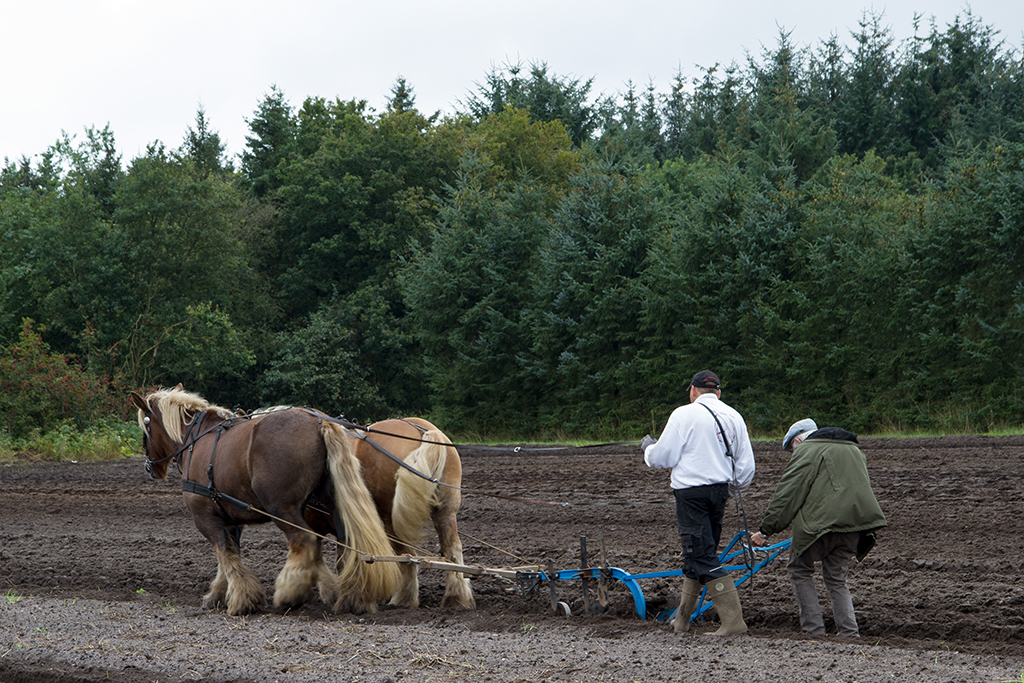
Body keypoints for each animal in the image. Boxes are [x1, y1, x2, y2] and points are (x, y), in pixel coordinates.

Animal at [129, 387, 399, 618]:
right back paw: (352, 595)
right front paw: (218, 594)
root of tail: (319, 420)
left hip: (282, 507)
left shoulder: (204, 516)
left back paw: (290, 592)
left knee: (304, 539)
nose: (149, 467)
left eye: (146, 427)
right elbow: (229, 555)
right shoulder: (230, 519)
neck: (196, 440)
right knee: (344, 541)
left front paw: (241, 600)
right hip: (329, 503)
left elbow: (224, 553)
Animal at [303, 419, 475, 610]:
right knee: (451, 548)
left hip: (392, 519)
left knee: (407, 555)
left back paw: (403, 599)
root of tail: (425, 432)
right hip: (446, 513)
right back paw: (456, 597)